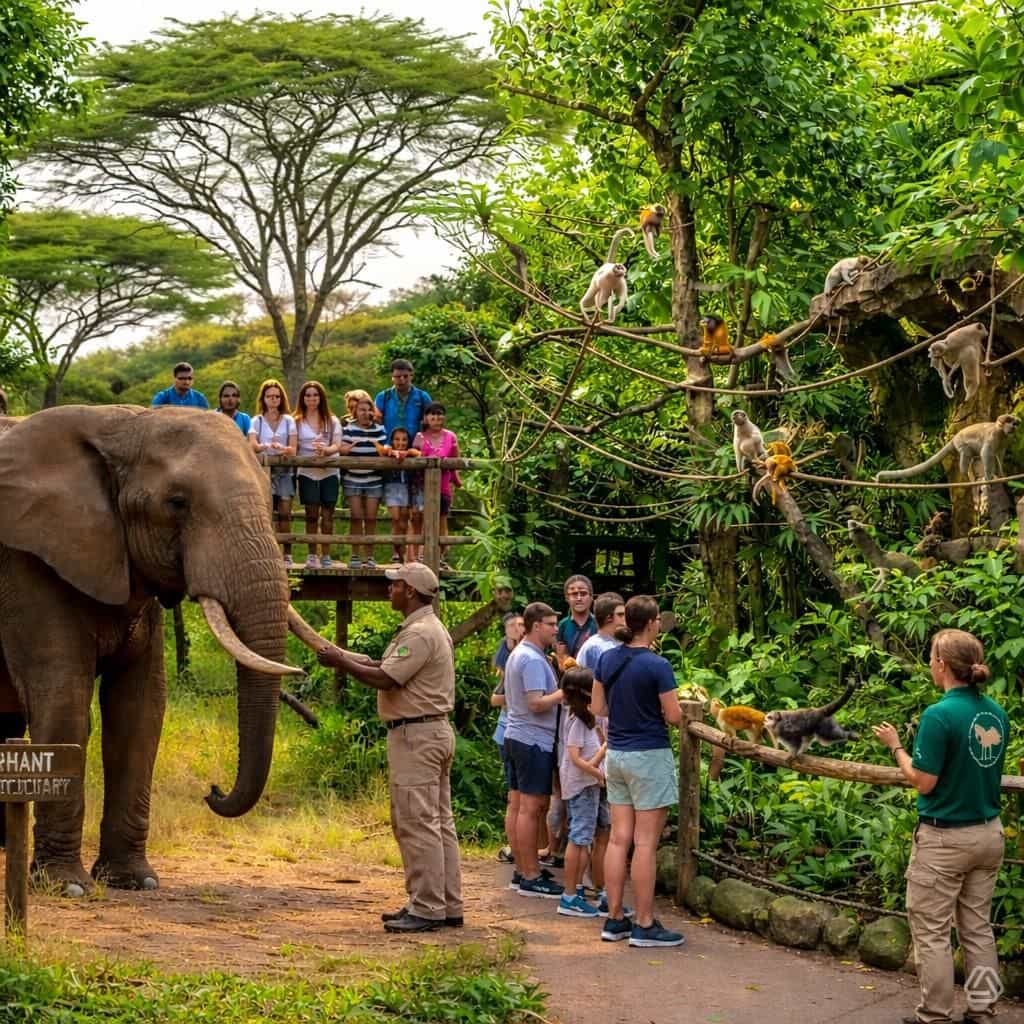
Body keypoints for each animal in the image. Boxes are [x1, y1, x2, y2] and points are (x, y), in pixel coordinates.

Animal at [0, 404, 334, 894]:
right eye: (177, 503)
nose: (212, 790)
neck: (118, 425)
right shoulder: (27, 564)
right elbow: (64, 700)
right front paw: (68, 886)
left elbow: (140, 708)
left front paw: (134, 881)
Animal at [875, 415, 1018, 483]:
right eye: (1010, 422)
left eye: (1014, 423)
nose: (1014, 426)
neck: (1001, 432)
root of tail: (954, 438)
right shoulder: (994, 435)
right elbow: (987, 453)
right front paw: (989, 477)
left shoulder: (1005, 439)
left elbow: (999, 455)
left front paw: (1001, 474)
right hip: (961, 442)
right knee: (966, 453)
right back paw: (964, 474)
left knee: (972, 456)